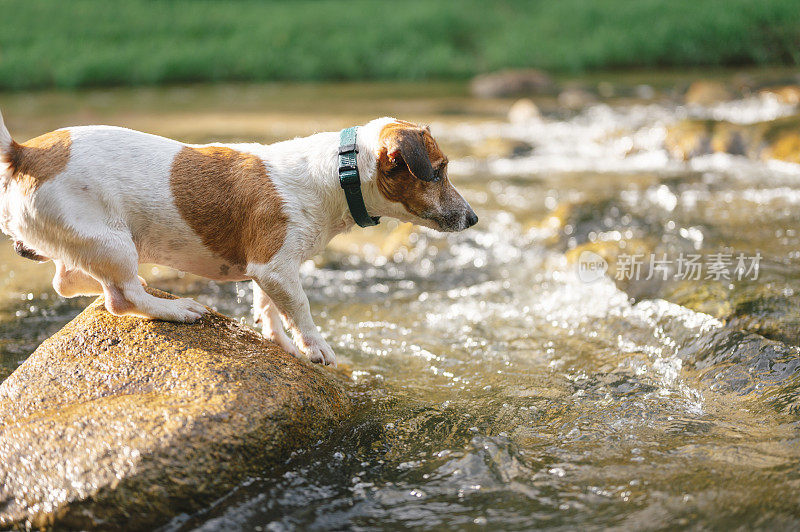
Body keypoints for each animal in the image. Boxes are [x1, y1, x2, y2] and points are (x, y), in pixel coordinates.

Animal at [0, 113, 476, 366]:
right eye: (440, 171)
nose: (472, 218)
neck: (340, 175)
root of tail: (25, 153)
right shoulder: (274, 266)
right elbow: (300, 308)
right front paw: (315, 346)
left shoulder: (269, 271)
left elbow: (269, 307)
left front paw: (281, 343)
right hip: (113, 243)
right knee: (122, 297)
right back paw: (176, 309)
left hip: (90, 242)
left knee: (68, 280)